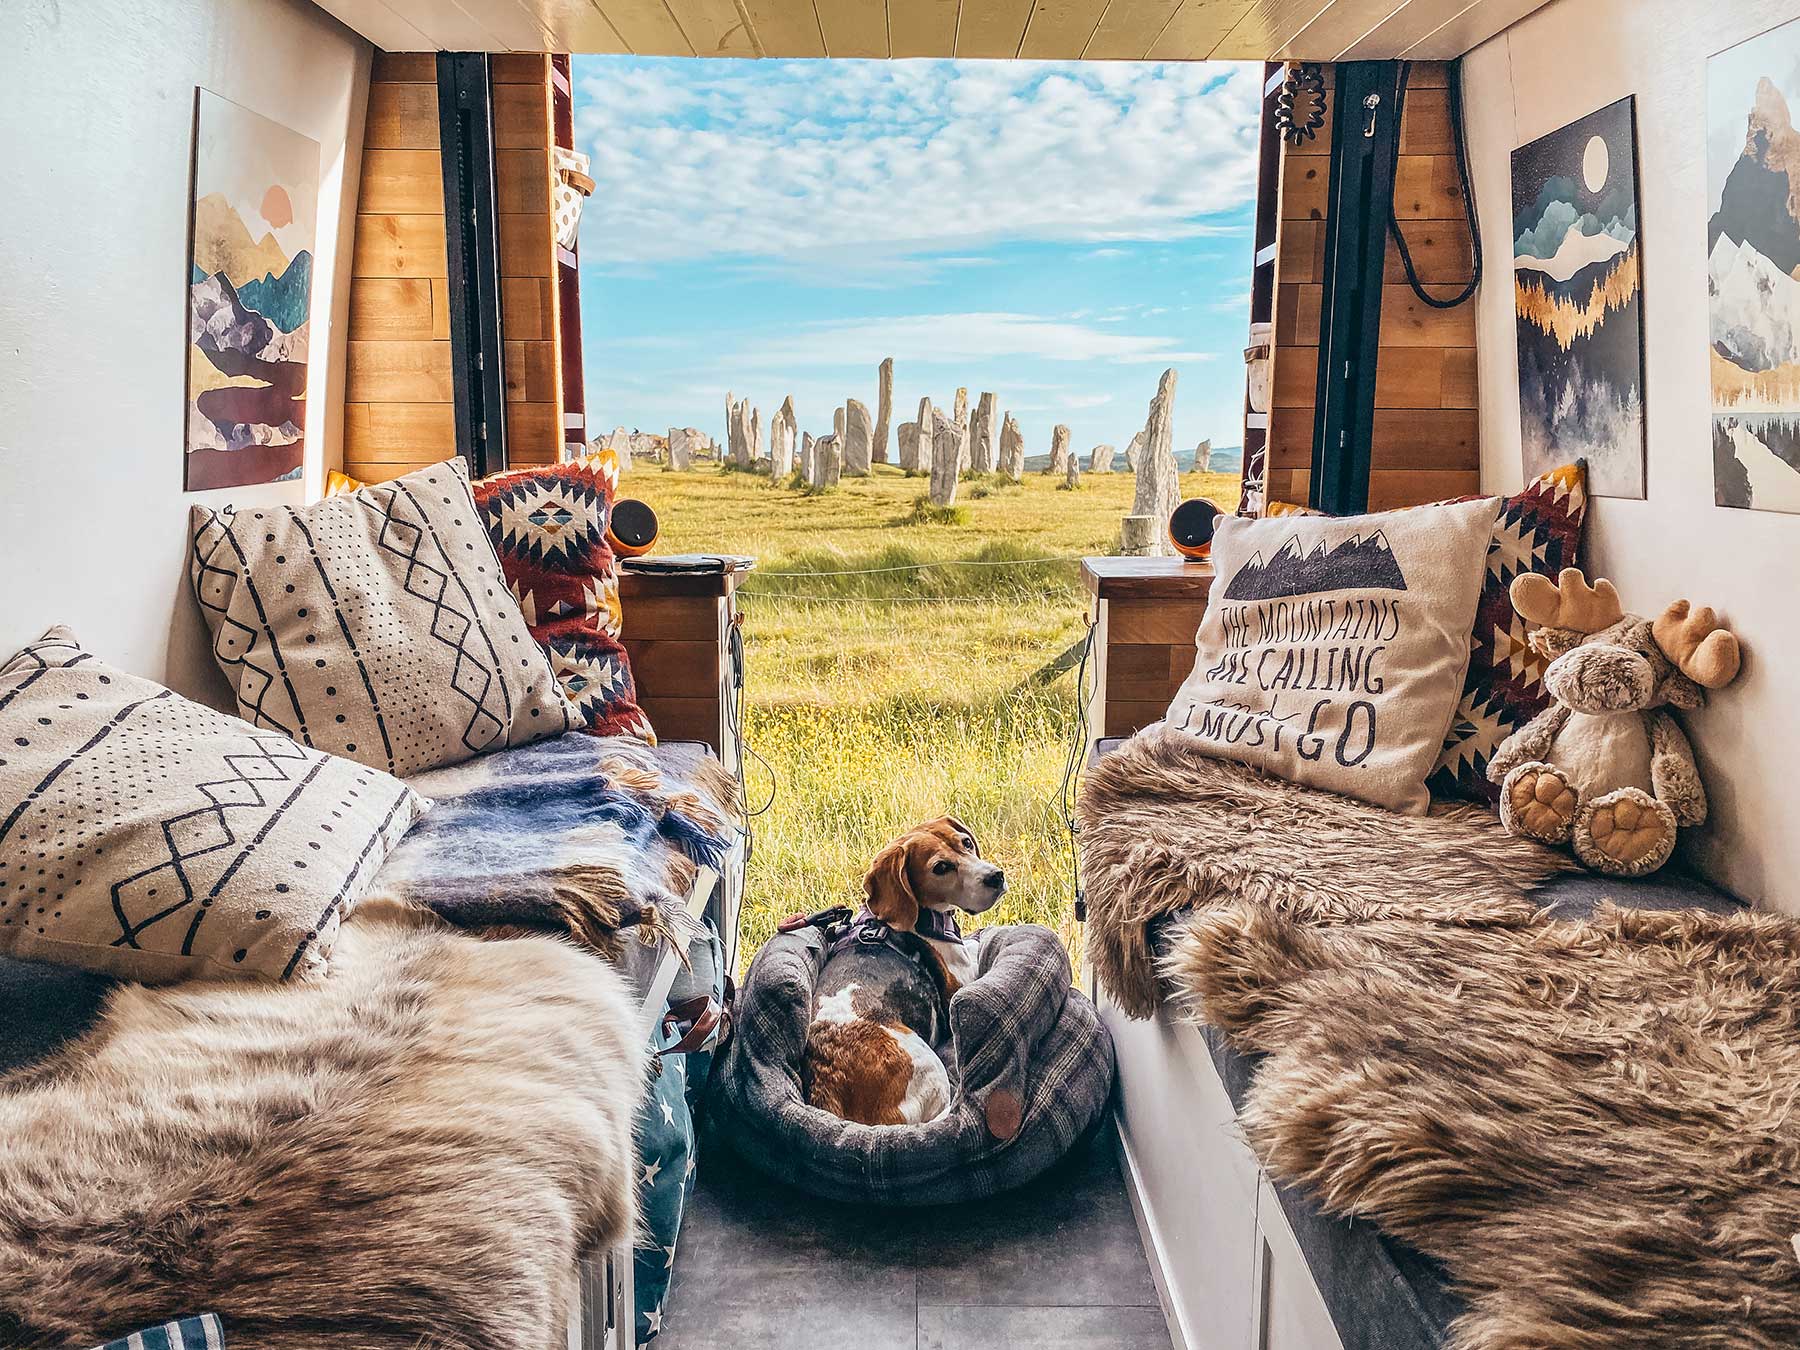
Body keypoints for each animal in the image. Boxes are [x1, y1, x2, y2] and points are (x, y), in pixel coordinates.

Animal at [806, 824, 1008, 1130]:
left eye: (966, 843)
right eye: (941, 867)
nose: (996, 876)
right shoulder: (963, 977)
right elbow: (974, 950)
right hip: (927, 1065)